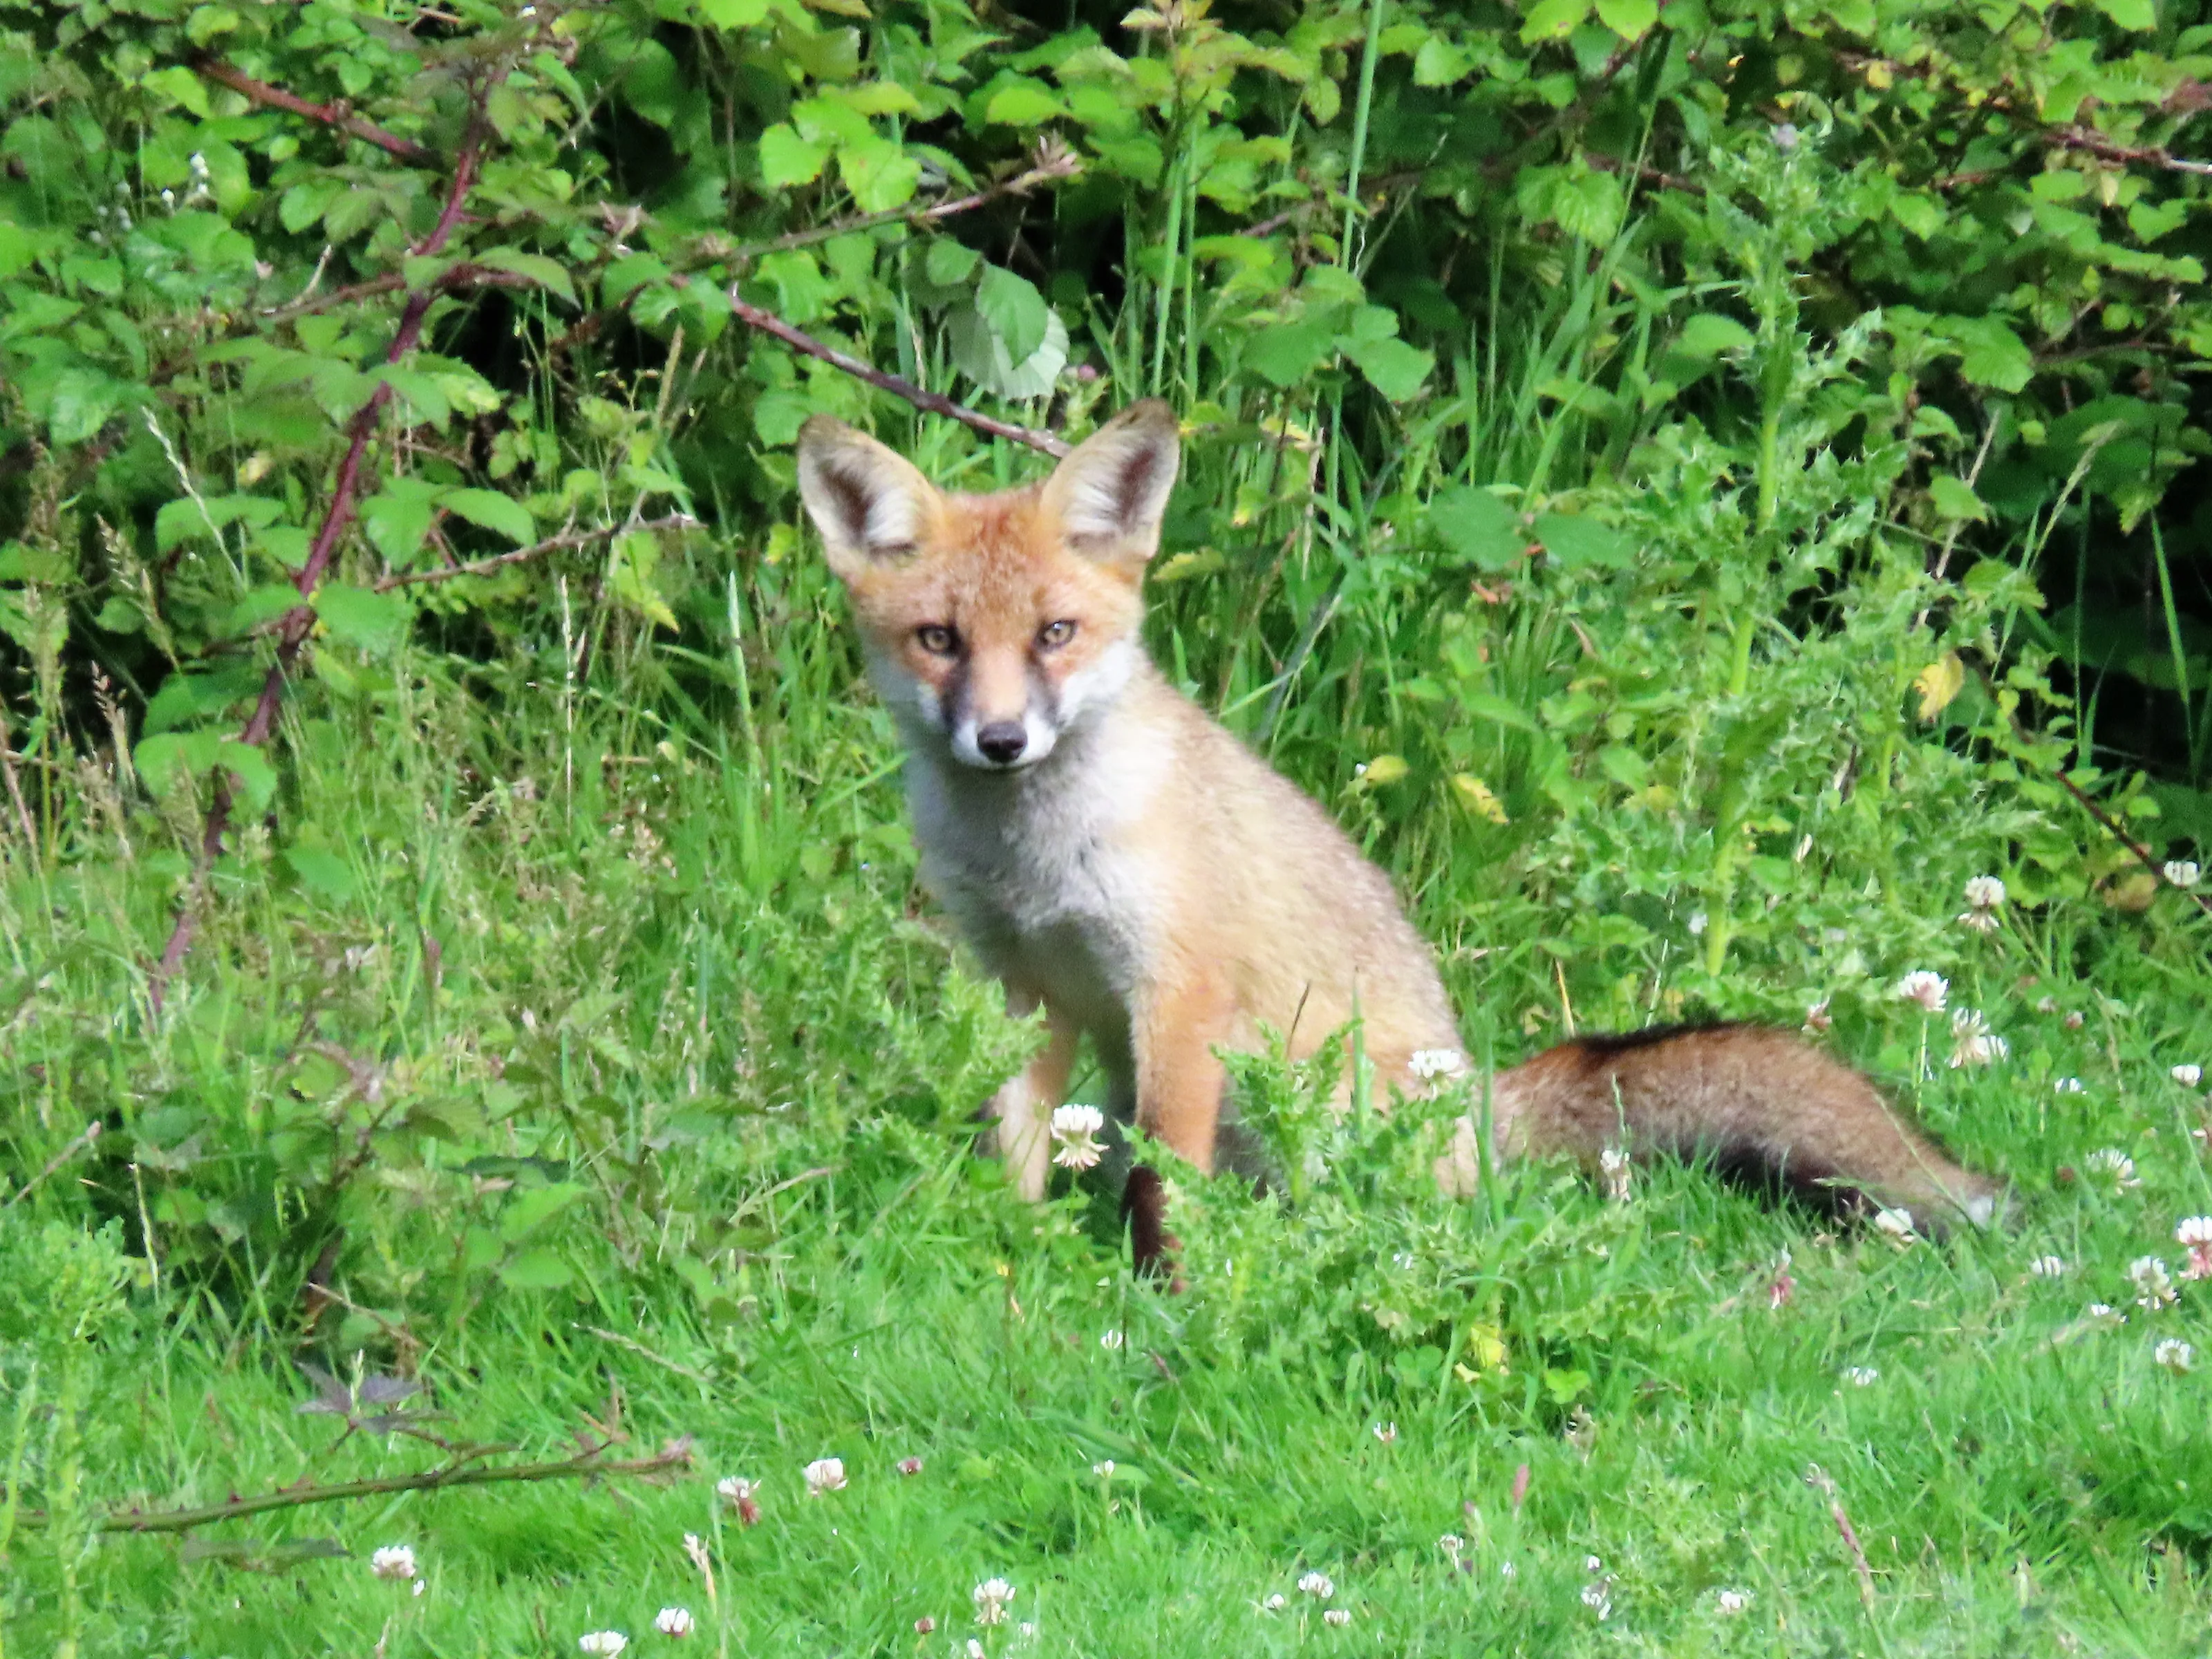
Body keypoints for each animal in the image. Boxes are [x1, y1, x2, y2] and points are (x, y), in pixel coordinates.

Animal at [794, 400, 2000, 1267]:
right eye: (940, 640)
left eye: (1055, 634)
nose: (1000, 741)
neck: (1036, 862)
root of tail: (1477, 1100)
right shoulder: (1019, 984)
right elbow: (1018, 1146)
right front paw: (1011, 1247)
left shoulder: (1178, 994)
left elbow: (1159, 1180)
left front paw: (1160, 1296)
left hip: (1313, 1099)